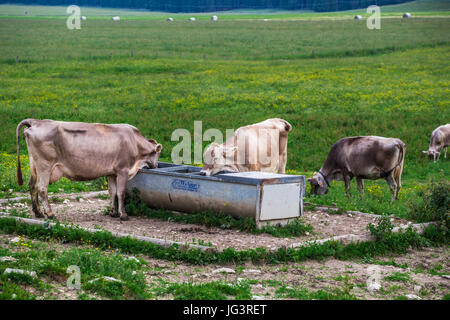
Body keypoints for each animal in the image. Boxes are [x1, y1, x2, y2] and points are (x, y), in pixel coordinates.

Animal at [16, 119, 163, 221]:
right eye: (158, 153)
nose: (156, 166)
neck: (135, 143)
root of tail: (36, 121)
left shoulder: (112, 173)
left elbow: (112, 192)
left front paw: (113, 212)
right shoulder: (123, 170)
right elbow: (121, 193)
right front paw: (123, 215)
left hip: (34, 166)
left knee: (32, 186)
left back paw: (38, 212)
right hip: (44, 166)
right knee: (42, 189)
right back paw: (50, 214)